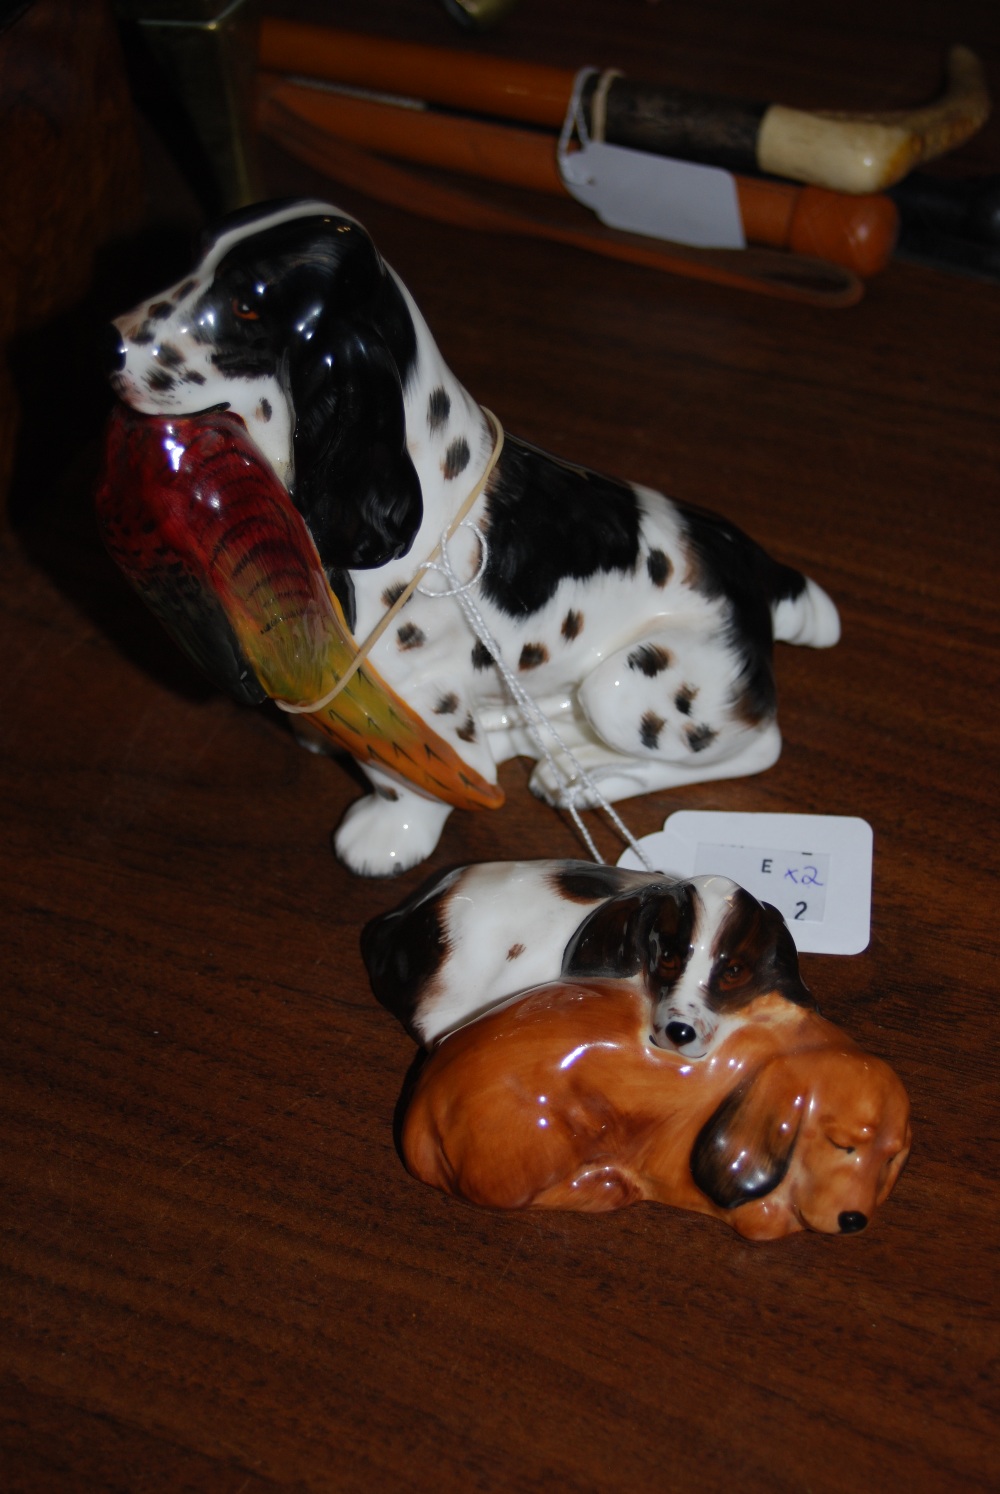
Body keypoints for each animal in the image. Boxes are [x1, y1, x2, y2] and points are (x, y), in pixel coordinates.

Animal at [105, 200, 837, 872]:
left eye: (246, 306)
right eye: (191, 255)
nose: (108, 341)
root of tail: (754, 566)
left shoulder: (422, 688)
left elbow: (407, 778)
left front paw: (388, 836)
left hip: (629, 685)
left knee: (757, 744)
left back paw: (586, 776)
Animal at [400, 980, 908, 1237]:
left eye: (890, 1159)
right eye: (842, 1145)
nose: (854, 1221)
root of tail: (420, 1109)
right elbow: (762, 1219)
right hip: (542, 1136)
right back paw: (606, 1184)